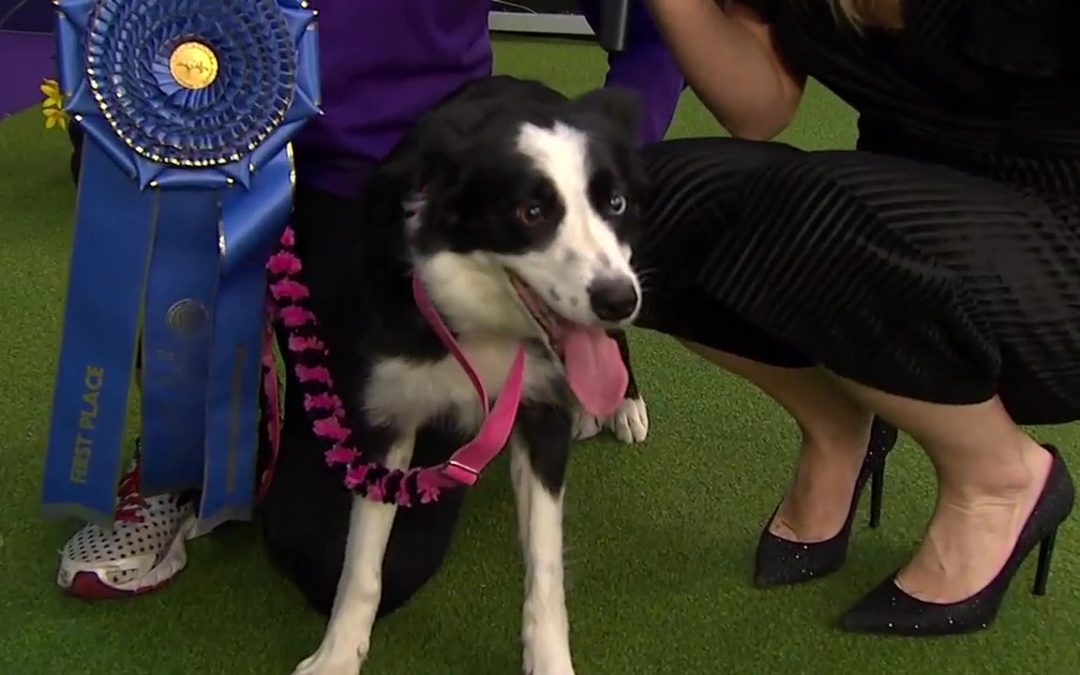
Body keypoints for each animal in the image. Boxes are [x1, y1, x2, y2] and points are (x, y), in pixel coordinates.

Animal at [261, 76, 648, 669]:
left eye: (616, 203)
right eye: (531, 212)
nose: (617, 299)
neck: (483, 320)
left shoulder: (541, 414)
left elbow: (545, 566)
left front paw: (550, 661)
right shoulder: (388, 415)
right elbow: (360, 564)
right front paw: (337, 656)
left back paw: (621, 402)